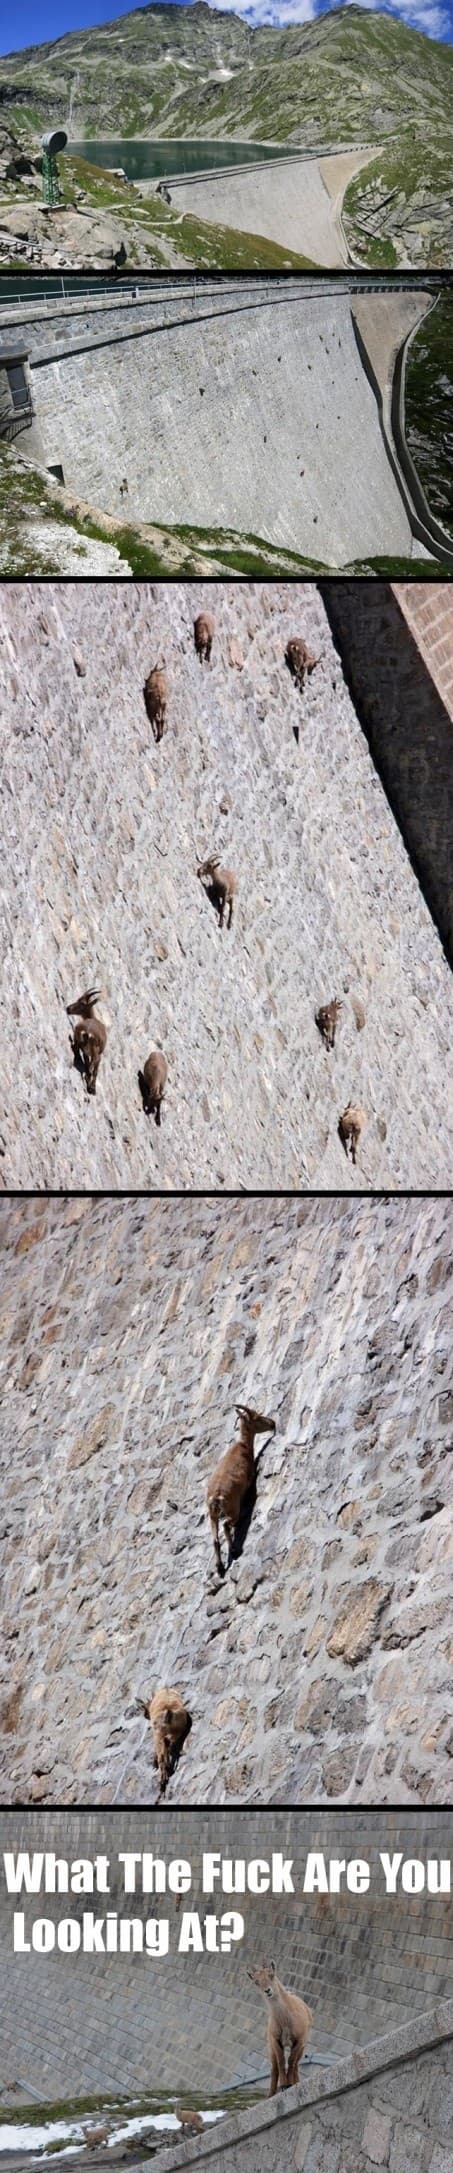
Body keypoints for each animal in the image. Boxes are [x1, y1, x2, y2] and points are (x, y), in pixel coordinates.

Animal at [207, 1403, 275, 1577]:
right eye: (257, 1417)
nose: (273, 1423)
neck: (243, 1446)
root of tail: (216, 1498)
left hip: (212, 1517)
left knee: (215, 1539)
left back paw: (220, 1568)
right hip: (232, 1509)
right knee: (226, 1526)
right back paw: (234, 1551)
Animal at [248, 1962, 313, 2096]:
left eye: (271, 1975)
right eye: (256, 1982)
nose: (267, 1990)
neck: (285, 2020)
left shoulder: (300, 2040)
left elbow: (292, 2060)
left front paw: (290, 2084)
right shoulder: (275, 2040)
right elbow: (281, 2061)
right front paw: (283, 2085)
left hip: (303, 2046)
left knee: (296, 2063)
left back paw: (296, 2082)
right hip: (270, 2046)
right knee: (274, 2068)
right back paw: (271, 2094)